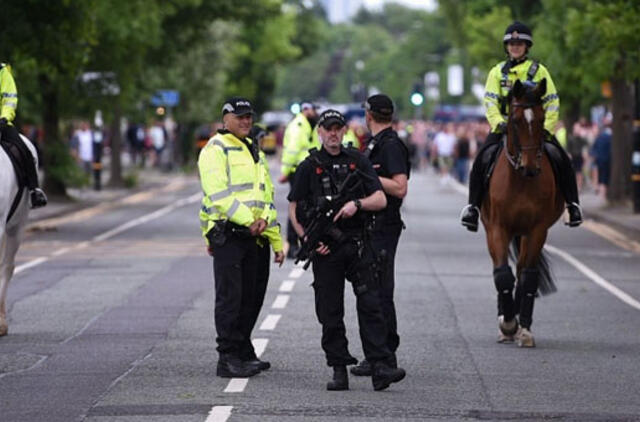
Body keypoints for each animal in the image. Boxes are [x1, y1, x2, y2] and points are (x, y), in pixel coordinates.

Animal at [482, 78, 564, 346]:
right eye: (515, 120)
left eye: (541, 119)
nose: (530, 167)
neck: (520, 181)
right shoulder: (498, 228)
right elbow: (502, 275)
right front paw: (507, 323)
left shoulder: (537, 230)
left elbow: (527, 277)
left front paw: (523, 329)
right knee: (503, 271)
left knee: (521, 271)